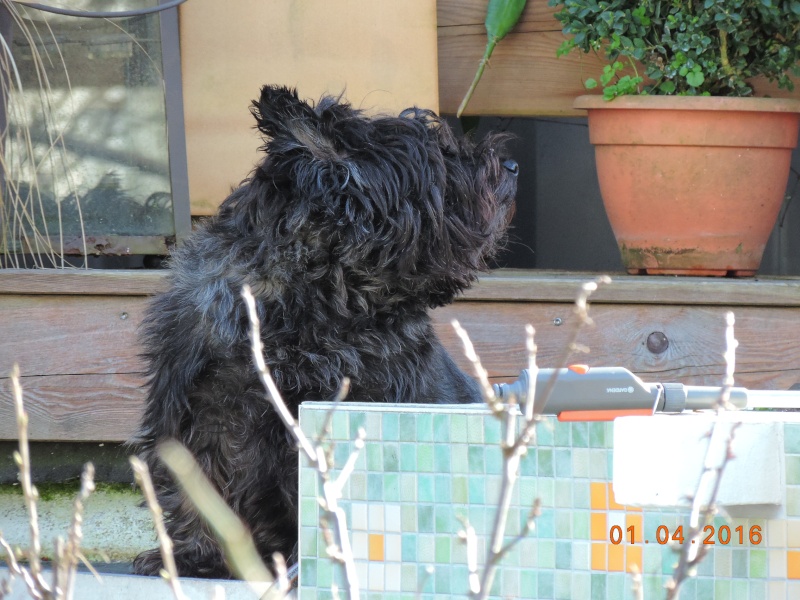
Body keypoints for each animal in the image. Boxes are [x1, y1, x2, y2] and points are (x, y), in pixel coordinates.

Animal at [133, 84, 520, 576]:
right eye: (442, 155)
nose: (513, 166)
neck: (317, 301)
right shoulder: (201, 406)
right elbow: (196, 485)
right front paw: (192, 555)